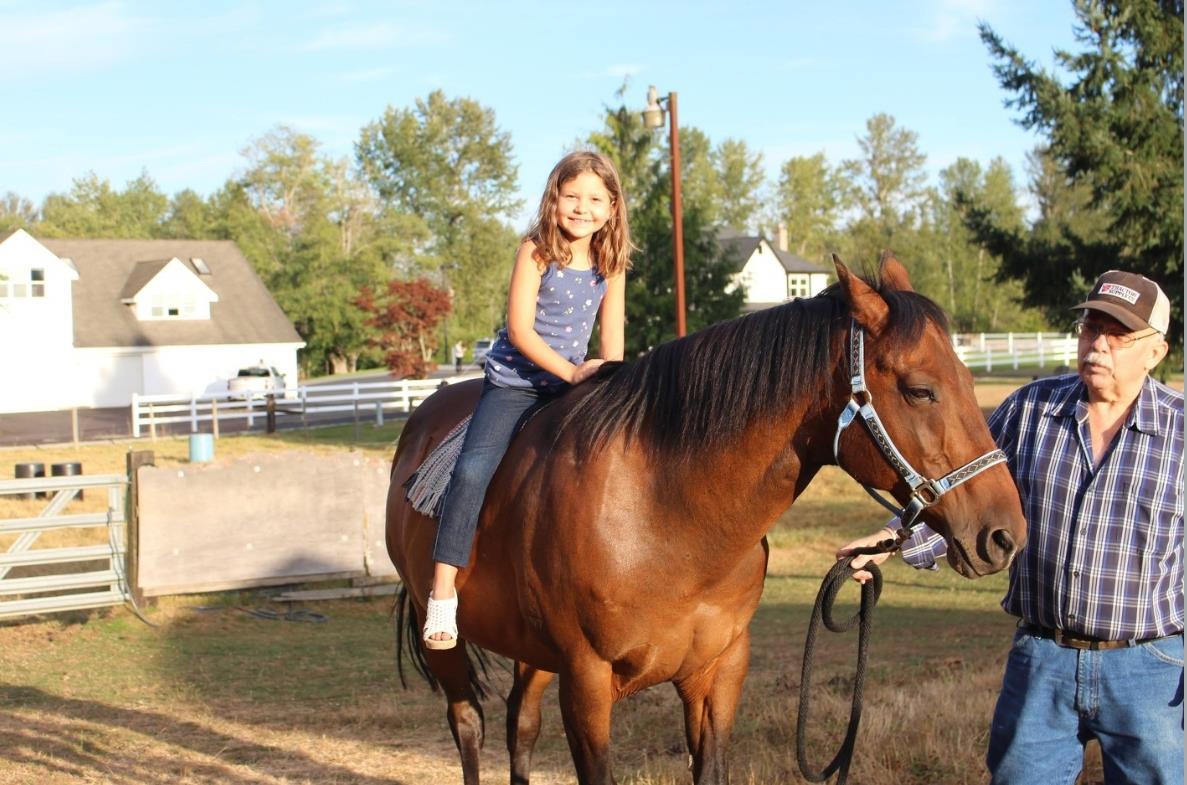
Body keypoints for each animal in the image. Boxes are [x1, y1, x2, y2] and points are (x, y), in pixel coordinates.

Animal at [385, 255, 1027, 785]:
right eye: (920, 391)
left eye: (969, 379)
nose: (1004, 534)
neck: (664, 518)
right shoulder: (586, 683)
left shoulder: (717, 674)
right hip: (449, 644)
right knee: (470, 725)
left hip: (532, 653)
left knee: (520, 724)